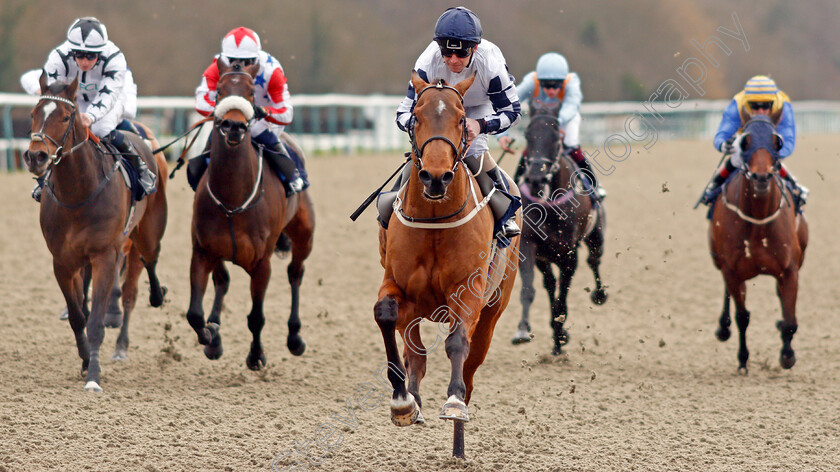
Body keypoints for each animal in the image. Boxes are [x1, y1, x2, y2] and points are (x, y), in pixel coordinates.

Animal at [23, 74, 169, 390]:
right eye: (33, 114)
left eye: (66, 117)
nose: (36, 156)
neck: (79, 192)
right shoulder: (63, 262)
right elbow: (79, 317)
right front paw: (85, 360)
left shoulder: (105, 255)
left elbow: (96, 322)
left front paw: (93, 376)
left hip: (146, 234)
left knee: (143, 272)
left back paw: (152, 300)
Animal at [187, 59, 316, 368]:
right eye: (219, 91)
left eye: (249, 93)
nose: (233, 125)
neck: (232, 200)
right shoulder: (202, 250)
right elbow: (194, 314)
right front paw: (210, 335)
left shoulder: (261, 262)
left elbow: (256, 317)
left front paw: (256, 356)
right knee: (222, 281)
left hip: (304, 235)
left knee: (295, 273)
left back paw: (295, 337)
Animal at [374, 72, 520, 460]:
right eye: (416, 117)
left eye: (460, 118)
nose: (436, 177)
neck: (435, 219)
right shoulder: (397, 285)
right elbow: (385, 315)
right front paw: (402, 402)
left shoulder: (466, 293)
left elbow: (456, 344)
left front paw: (453, 403)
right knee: (416, 353)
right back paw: (413, 398)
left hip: (492, 311)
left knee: (469, 368)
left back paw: (458, 444)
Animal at [508, 115, 608, 354]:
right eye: (527, 136)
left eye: (555, 139)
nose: (536, 178)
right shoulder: (529, 246)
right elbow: (530, 288)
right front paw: (524, 330)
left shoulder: (569, 254)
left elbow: (563, 296)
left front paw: (560, 335)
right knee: (550, 283)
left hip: (596, 236)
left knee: (594, 260)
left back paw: (599, 294)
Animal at [708, 112, 808, 370]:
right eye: (745, 142)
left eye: (777, 142)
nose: (761, 177)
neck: (759, 221)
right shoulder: (732, 270)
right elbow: (742, 316)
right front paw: (743, 359)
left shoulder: (790, 270)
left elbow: (790, 320)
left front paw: (787, 355)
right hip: (718, 258)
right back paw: (723, 328)